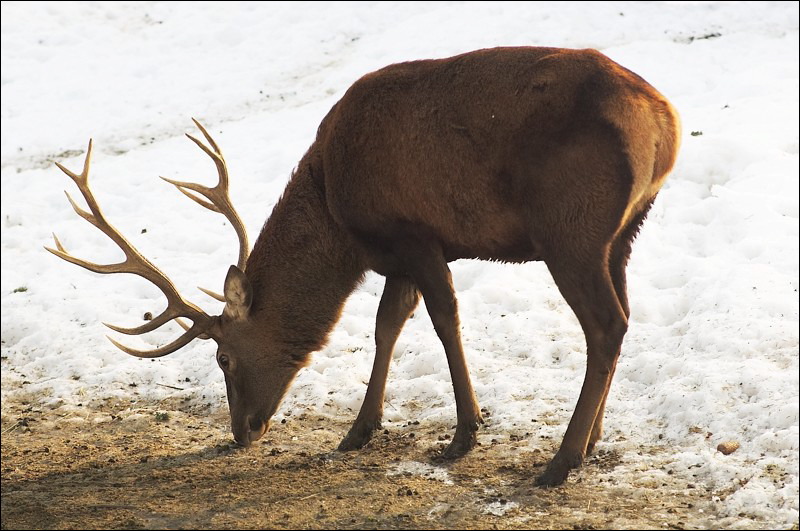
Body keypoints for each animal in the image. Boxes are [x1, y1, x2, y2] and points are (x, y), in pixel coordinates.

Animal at [47, 46, 680, 486]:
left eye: (223, 356)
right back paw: (591, 441)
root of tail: (665, 122)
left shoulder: (416, 234)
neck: (337, 211)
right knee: (621, 319)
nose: (242, 432)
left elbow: (444, 320)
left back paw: (561, 460)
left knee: (606, 325)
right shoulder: (396, 257)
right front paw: (359, 430)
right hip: (622, 233)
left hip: (570, 231)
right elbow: (386, 325)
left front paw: (464, 434)